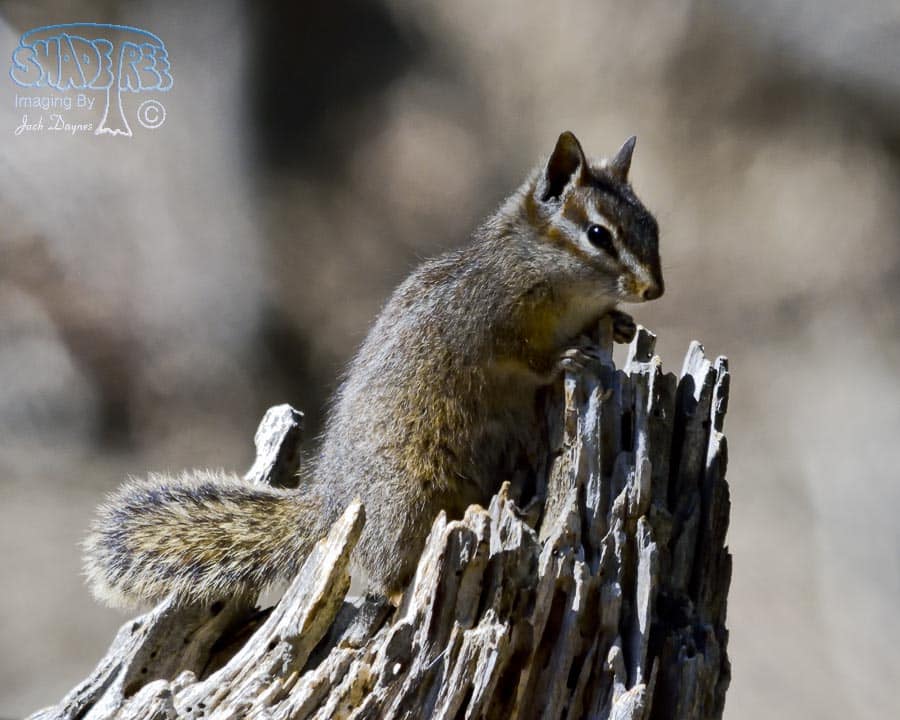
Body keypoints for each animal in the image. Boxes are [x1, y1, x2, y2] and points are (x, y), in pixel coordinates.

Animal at [83, 131, 664, 609]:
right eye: (598, 234)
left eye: (652, 225)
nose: (654, 289)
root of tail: (331, 503)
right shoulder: (485, 323)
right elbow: (524, 356)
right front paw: (565, 357)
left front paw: (619, 324)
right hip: (408, 498)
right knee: (385, 573)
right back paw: (403, 591)